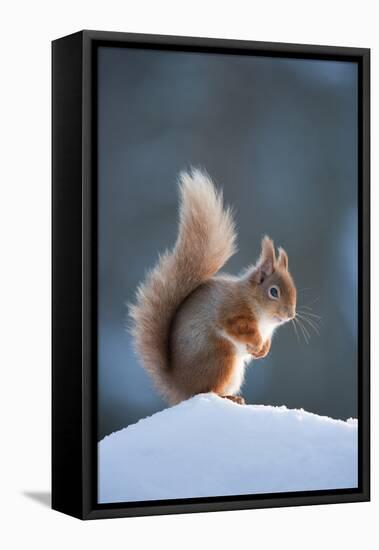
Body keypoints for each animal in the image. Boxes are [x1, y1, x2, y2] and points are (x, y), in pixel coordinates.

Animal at [130, 170, 296, 408]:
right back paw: (228, 397)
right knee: (207, 390)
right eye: (274, 291)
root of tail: (180, 388)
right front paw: (256, 344)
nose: (290, 315)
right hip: (222, 358)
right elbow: (238, 327)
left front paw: (263, 350)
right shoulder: (232, 311)